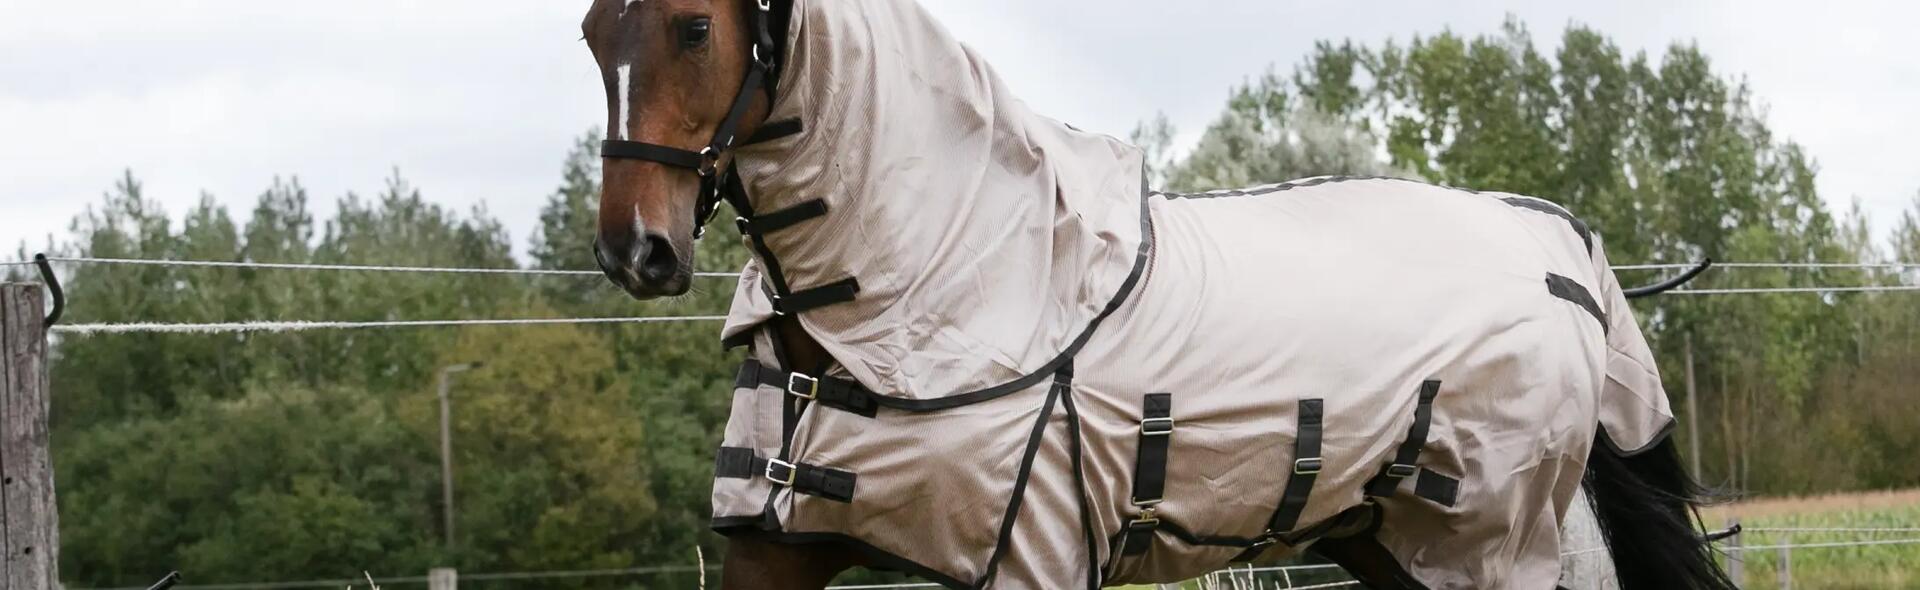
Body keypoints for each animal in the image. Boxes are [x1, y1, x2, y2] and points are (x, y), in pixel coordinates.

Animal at [578, 0, 1734, 588]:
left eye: (692, 25)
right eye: (594, 28)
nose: (638, 250)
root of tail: (1549, 242)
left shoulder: (1029, 559)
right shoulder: (777, 545)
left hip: (1489, 544)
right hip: (1396, 539)